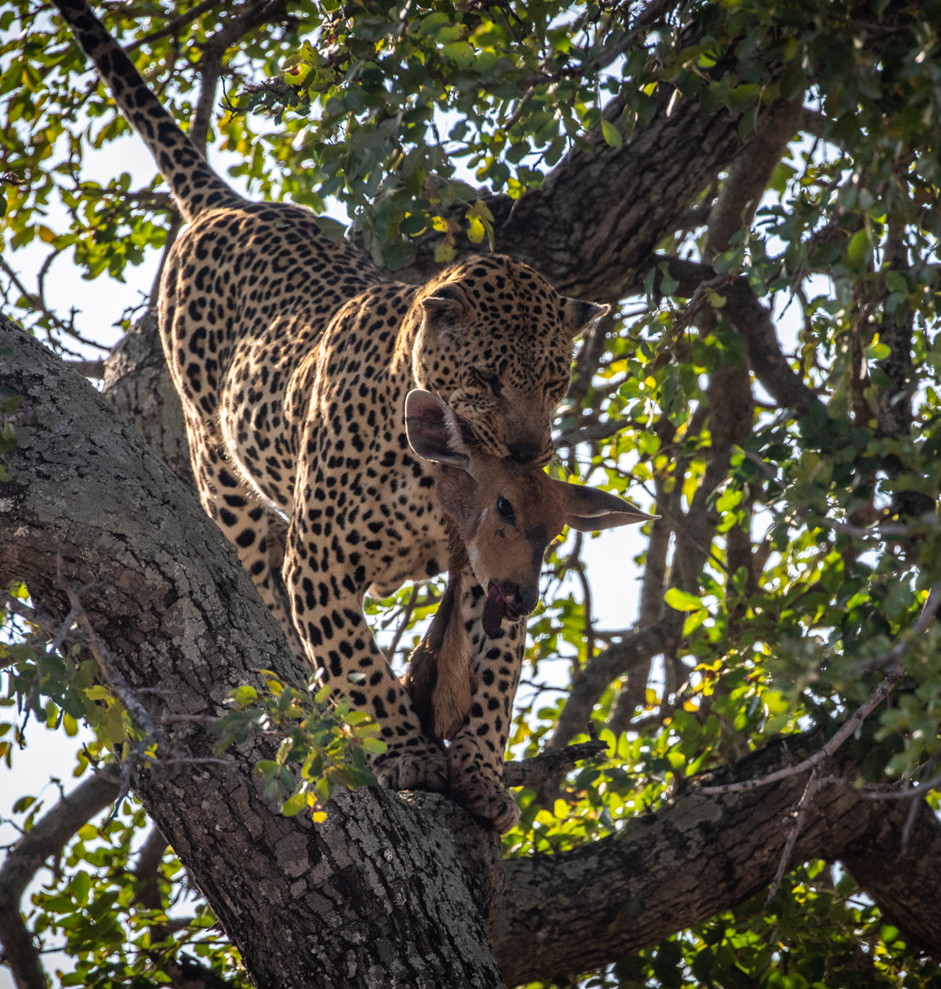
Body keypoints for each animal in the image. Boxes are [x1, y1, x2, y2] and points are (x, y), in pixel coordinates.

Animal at [53, 0, 611, 829]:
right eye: (486, 377)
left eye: (555, 381)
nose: (526, 450)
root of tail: (230, 205)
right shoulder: (318, 557)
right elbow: (355, 660)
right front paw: (405, 750)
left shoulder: (492, 564)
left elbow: (493, 672)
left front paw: (480, 766)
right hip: (220, 466)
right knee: (265, 588)